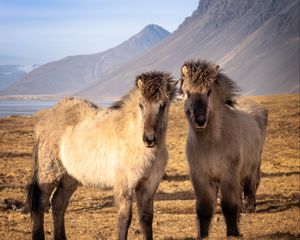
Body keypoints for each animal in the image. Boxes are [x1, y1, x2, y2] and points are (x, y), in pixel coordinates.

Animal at [26, 71, 176, 240]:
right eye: (141, 105)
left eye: (163, 105)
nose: (149, 139)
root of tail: (45, 118)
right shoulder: (125, 187)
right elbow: (124, 219)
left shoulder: (149, 186)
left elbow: (146, 218)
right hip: (49, 173)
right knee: (40, 204)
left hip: (70, 177)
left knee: (58, 204)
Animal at [179, 59, 268, 238]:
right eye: (187, 92)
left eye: (208, 92)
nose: (200, 120)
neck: (211, 144)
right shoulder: (201, 177)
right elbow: (204, 208)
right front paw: (202, 235)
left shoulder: (228, 175)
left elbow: (228, 205)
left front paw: (233, 233)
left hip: (251, 168)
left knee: (250, 186)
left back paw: (249, 207)